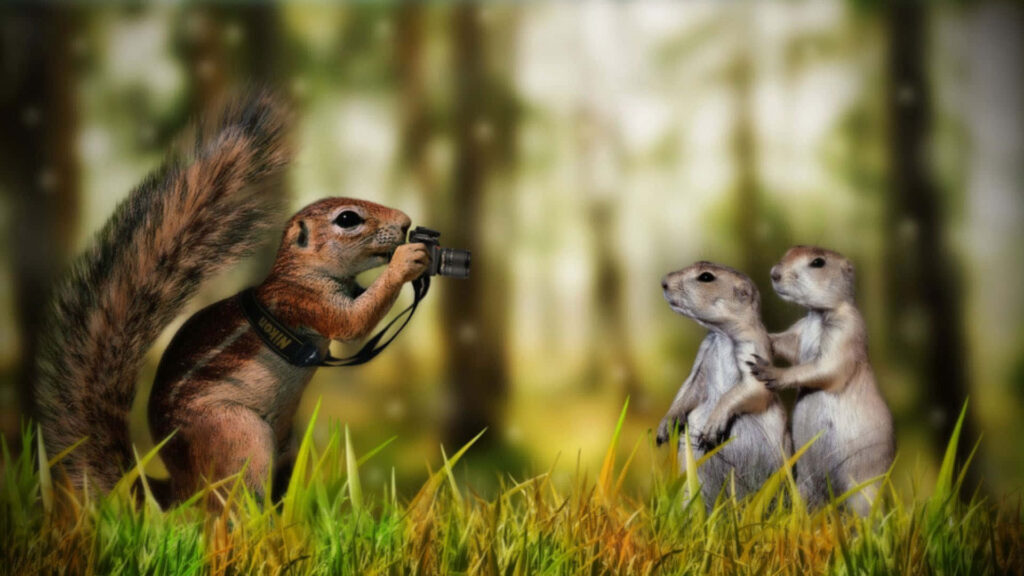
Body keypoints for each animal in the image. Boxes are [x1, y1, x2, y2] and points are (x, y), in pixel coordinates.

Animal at [34, 92, 430, 506]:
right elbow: (351, 324)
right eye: (348, 219)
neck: (302, 272)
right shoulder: (298, 301)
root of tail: (182, 485)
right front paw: (407, 260)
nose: (405, 222)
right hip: (236, 434)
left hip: (286, 446)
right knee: (228, 509)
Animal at [657, 261, 791, 507]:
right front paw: (666, 425)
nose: (663, 281)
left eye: (706, 277)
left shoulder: (753, 346)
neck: (722, 335)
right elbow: (689, 388)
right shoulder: (703, 354)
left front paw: (711, 427)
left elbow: (752, 387)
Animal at [748, 246, 894, 515]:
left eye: (818, 262)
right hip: (805, 483)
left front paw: (770, 371)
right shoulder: (801, 328)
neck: (818, 314)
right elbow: (788, 343)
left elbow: (826, 366)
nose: (774, 273)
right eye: (790, 250)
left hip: (863, 488)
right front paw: (766, 336)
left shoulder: (846, 331)